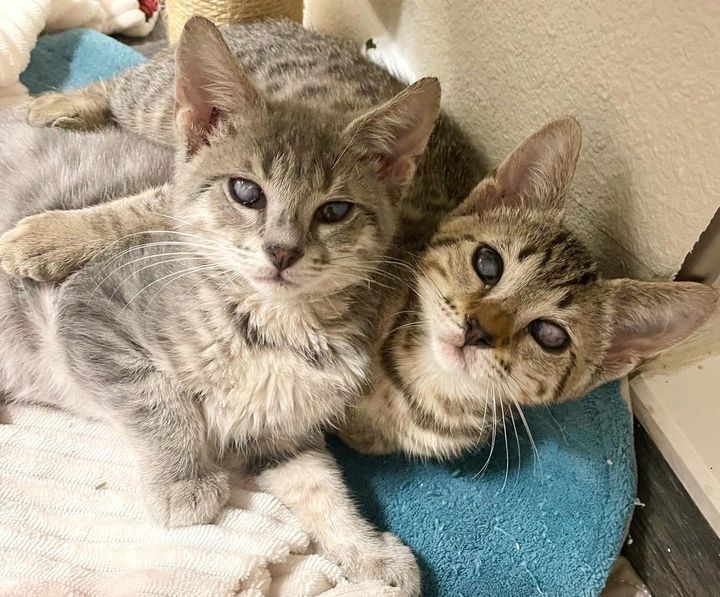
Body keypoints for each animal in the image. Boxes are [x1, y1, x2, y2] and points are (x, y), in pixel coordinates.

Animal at [0, 18, 466, 592]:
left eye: (335, 211)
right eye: (246, 192)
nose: (283, 251)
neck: (275, 328)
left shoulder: (280, 432)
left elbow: (322, 487)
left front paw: (367, 552)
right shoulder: (90, 309)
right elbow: (156, 396)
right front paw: (184, 480)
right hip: (155, 103)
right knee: (118, 87)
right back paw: (56, 106)